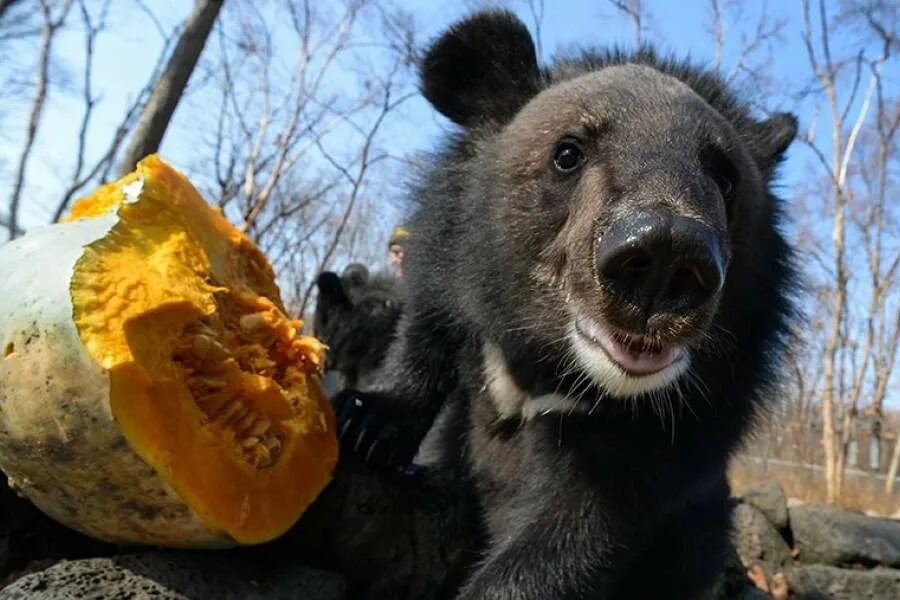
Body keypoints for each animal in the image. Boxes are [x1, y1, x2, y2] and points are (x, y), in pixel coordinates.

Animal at [334, 10, 800, 600]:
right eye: (568, 154)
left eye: (725, 177)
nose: (667, 252)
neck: (551, 366)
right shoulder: (448, 254)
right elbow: (426, 330)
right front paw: (363, 421)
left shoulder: (690, 416)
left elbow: (578, 528)